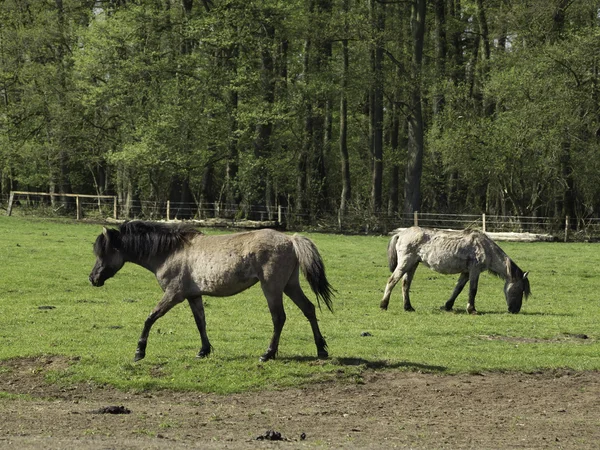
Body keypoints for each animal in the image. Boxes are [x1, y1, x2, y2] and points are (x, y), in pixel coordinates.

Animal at [89, 221, 336, 362]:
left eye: (103, 252)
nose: (93, 278)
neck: (170, 252)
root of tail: (290, 239)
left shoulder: (174, 294)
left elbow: (150, 318)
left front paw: (139, 352)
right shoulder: (193, 295)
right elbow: (201, 322)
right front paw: (204, 350)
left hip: (272, 288)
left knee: (279, 318)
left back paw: (268, 354)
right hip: (290, 285)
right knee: (309, 309)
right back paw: (321, 349)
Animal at [380, 229, 528, 312]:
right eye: (520, 290)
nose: (515, 310)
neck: (485, 247)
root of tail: (400, 234)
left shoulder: (466, 272)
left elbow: (458, 289)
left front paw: (448, 305)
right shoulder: (474, 271)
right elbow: (473, 290)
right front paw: (472, 309)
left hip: (413, 265)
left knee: (405, 285)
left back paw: (408, 307)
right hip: (406, 263)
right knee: (392, 281)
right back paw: (383, 305)